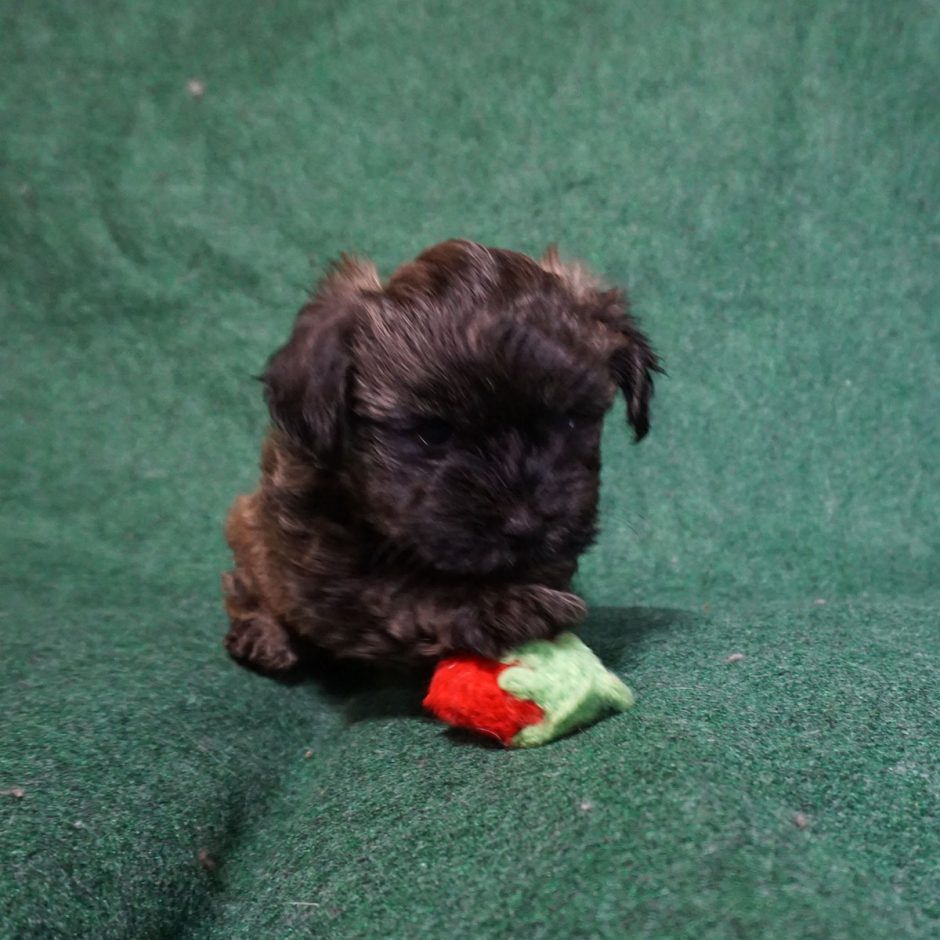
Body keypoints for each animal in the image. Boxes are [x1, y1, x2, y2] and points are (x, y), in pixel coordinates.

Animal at [222, 239, 660, 674]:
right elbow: (403, 592)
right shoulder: (322, 569)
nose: (527, 525)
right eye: (433, 434)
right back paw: (261, 632)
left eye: (569, 421)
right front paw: (507, 607)